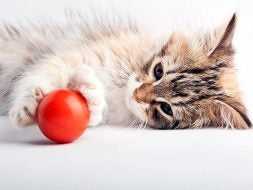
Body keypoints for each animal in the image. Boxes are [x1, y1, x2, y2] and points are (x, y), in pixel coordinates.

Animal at [0, 12, 250, 129]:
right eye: (158, 71)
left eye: (166, 108)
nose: (136, 95)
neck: (119, 91)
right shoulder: (72, 56)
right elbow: (41, 75)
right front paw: (26, 107)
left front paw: (90, 96)